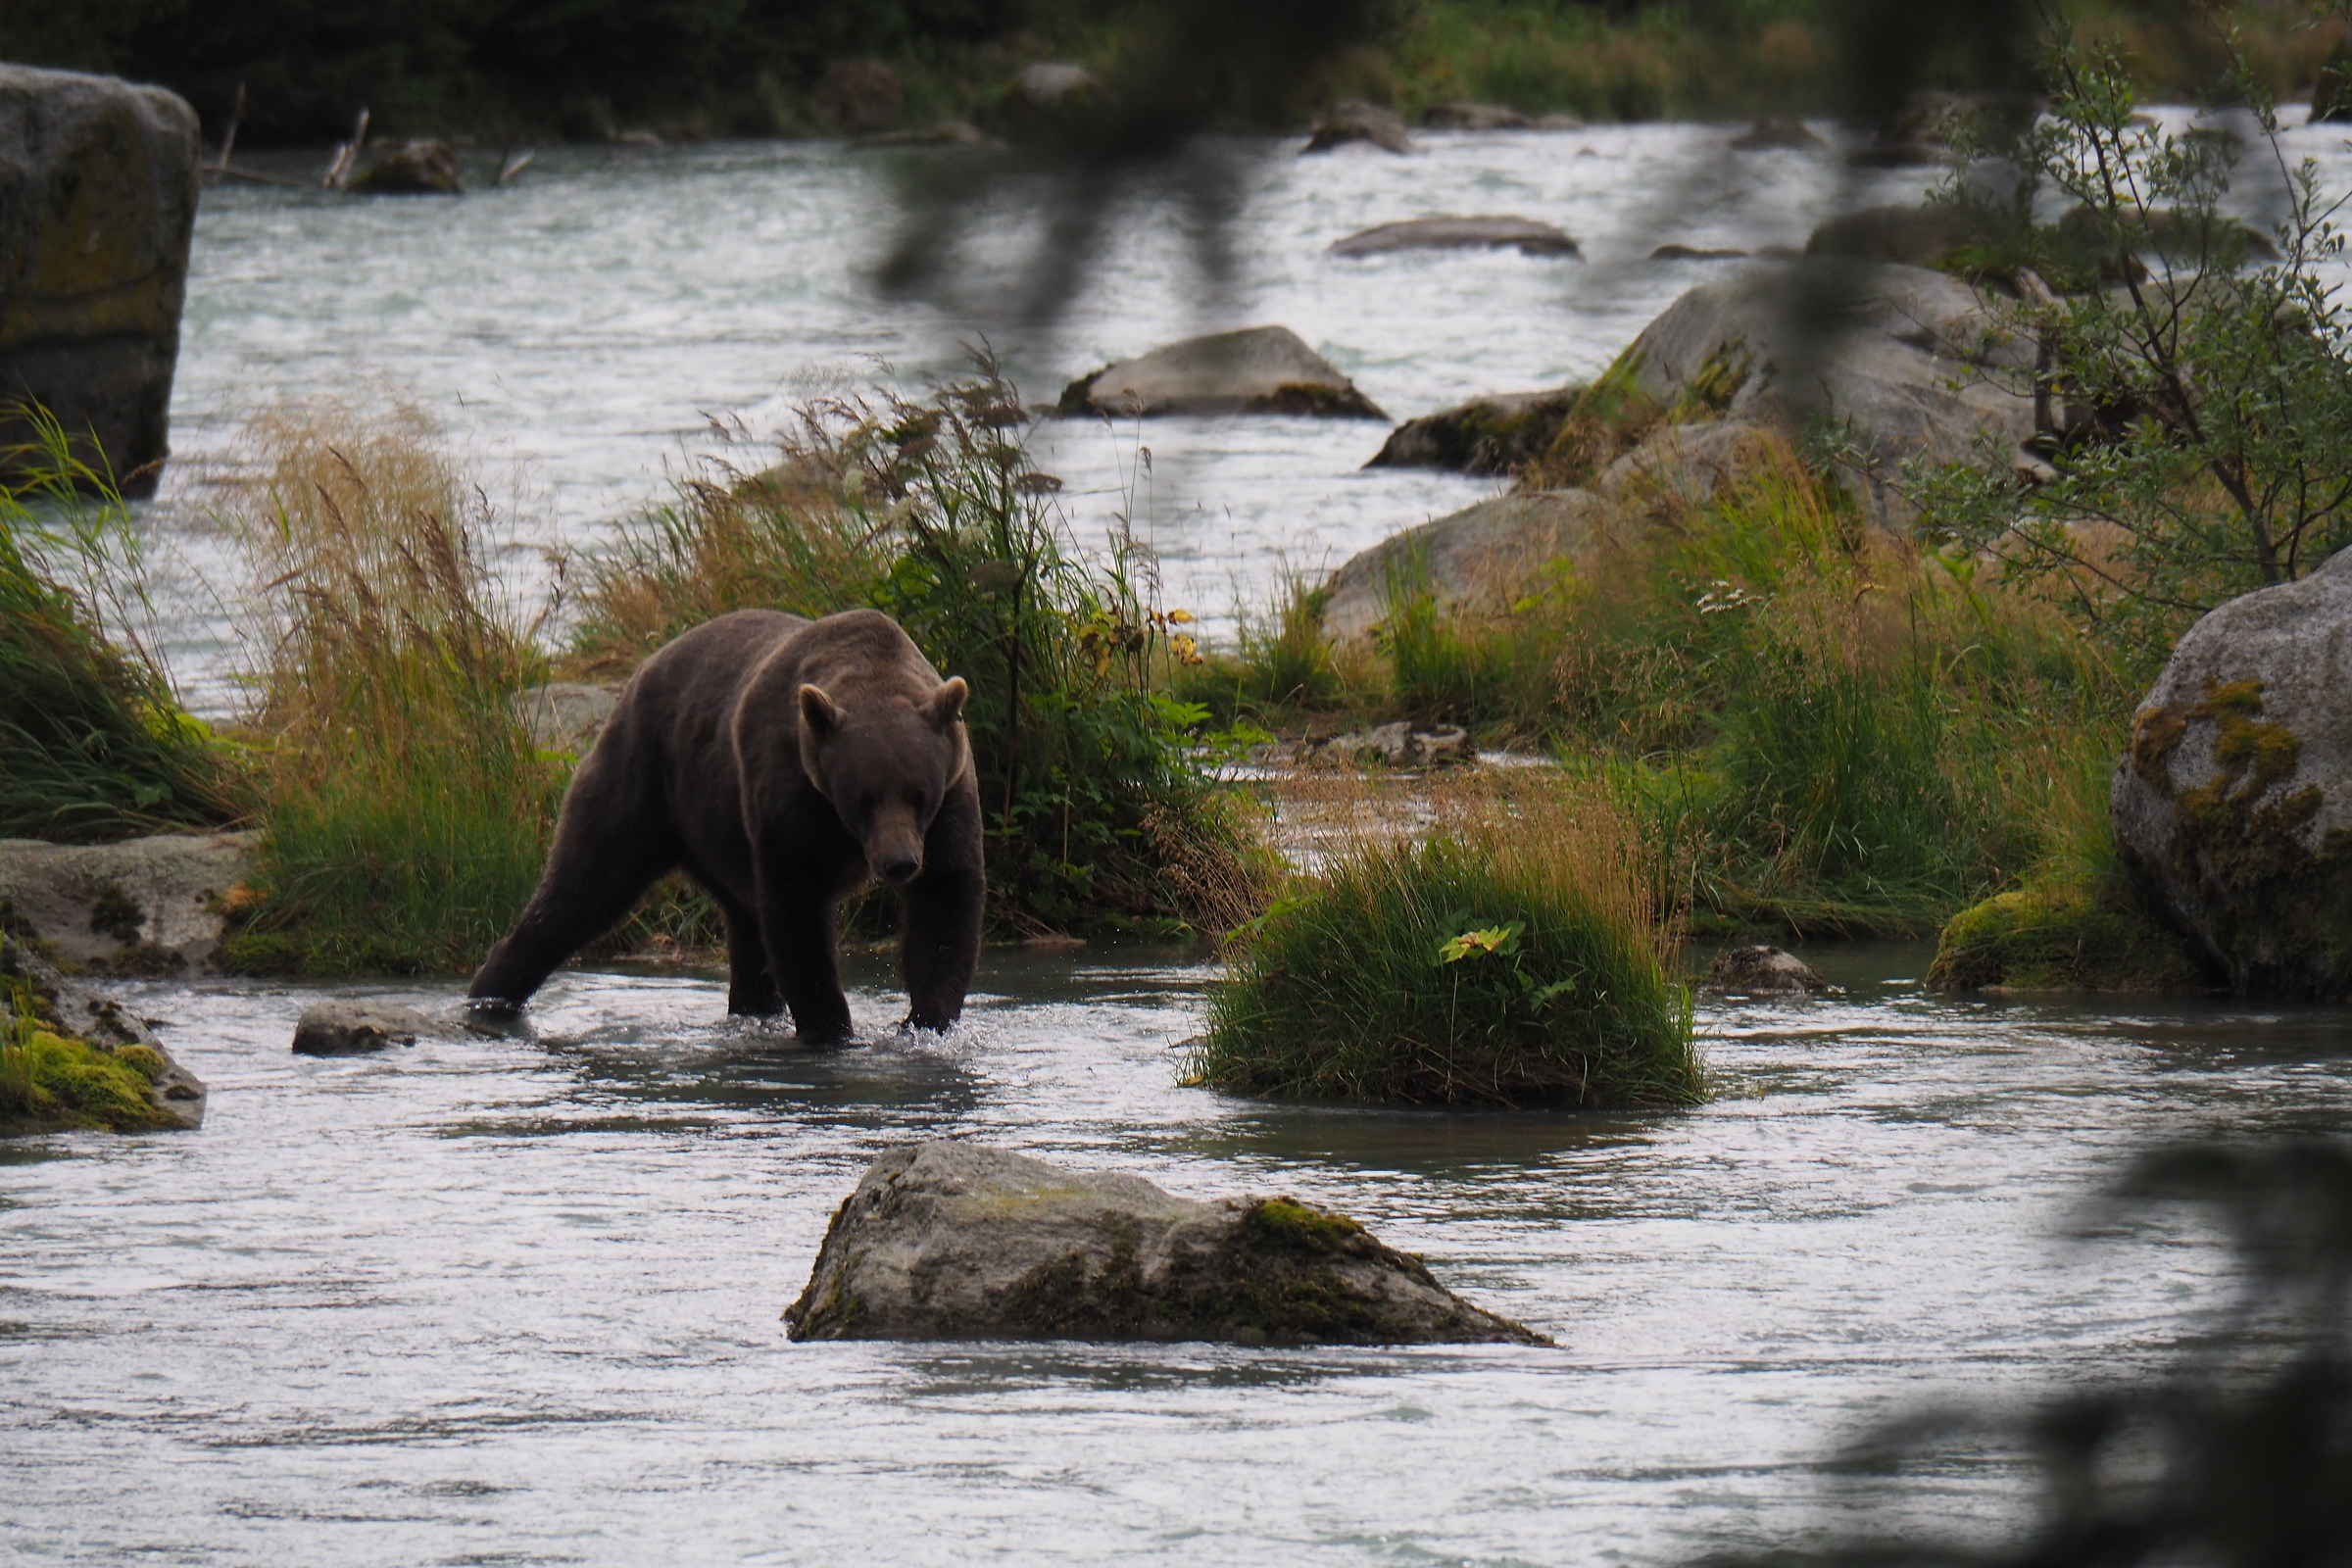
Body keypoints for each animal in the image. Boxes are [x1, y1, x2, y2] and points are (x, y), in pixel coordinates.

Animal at [467, 608, 985, 1041]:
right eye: (863, 798)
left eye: (920, 795)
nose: (899, 862)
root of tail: (642, 670)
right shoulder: (787, 799)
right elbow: (798, 909)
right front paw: (832, 1027)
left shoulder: (951, 800)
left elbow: (946, 900)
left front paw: (926, 1021)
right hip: (645, 782)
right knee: (581, 889)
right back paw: (491, 993)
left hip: (717, 829)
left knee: (746, 926)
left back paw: (752, 1007)